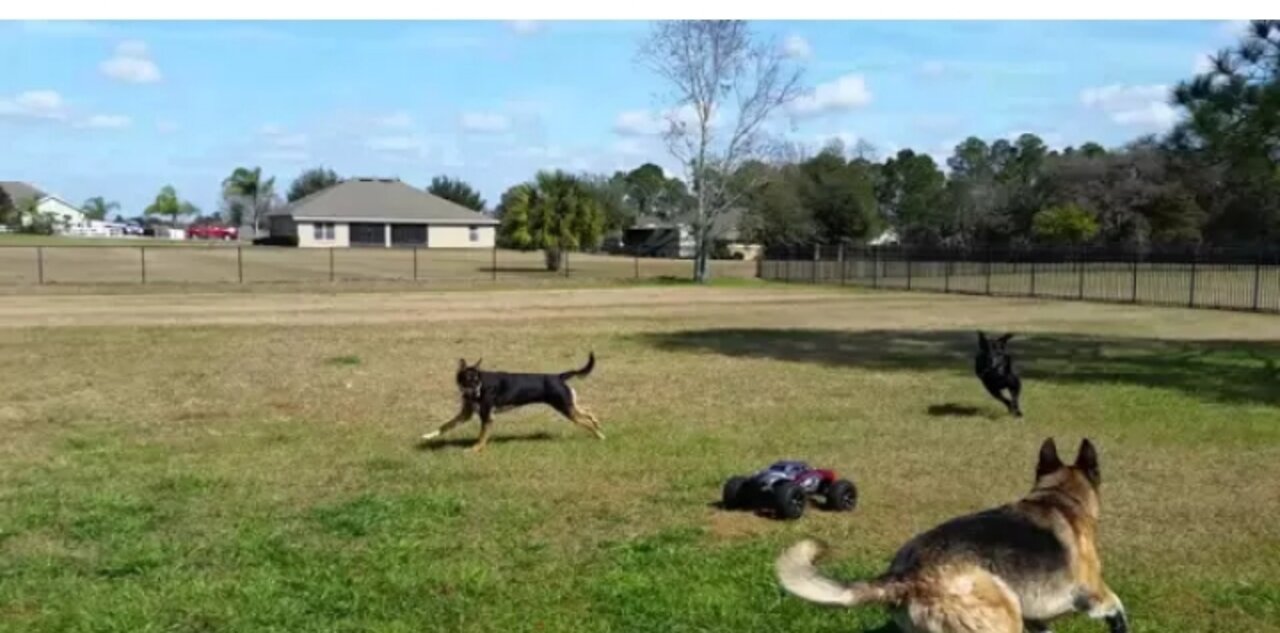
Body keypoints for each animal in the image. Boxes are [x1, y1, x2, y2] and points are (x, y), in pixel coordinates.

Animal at [417, 352, 601, 450]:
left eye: (477, 380)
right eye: (468, 379)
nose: (477, 392)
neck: (481, 387)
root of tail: (558, 376)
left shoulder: (487, 417)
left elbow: (481, 436)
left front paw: (475, 449)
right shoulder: (465, 414)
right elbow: (445, 425)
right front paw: (428, 436)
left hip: (565, 408)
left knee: (586, 422)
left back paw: (600, 435)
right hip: (569, 405)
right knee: (587, 412)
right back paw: (597, 422)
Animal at [773, 437, 1126, 633]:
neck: (1059, 496)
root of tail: (907, 575)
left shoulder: (1037, 617)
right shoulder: (1096, 594)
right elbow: (1119, 613)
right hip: (1003, 619)